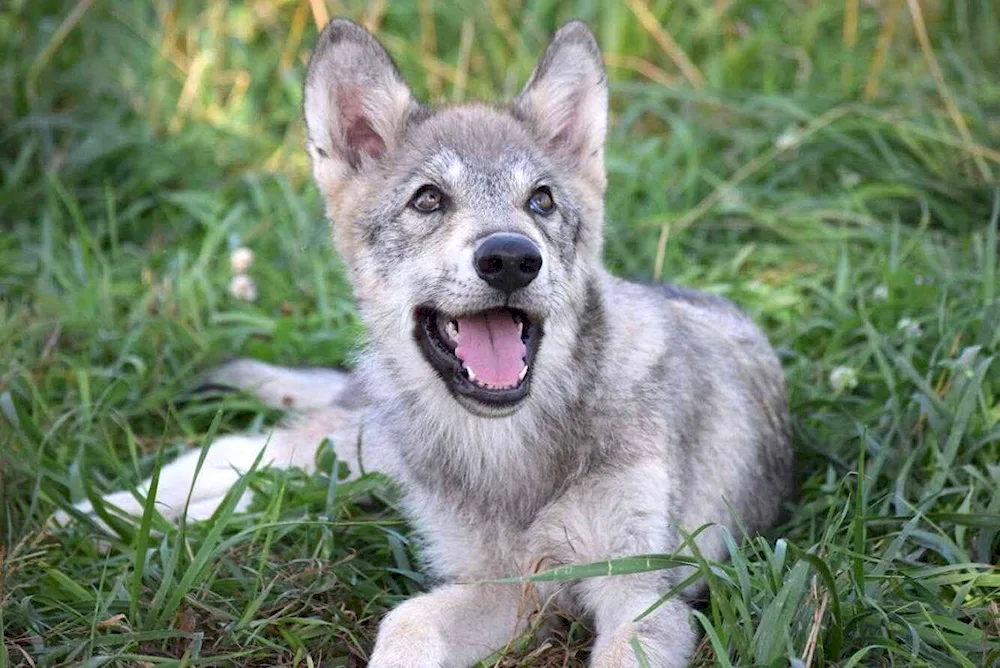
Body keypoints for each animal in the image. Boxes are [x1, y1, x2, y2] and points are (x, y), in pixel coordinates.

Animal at [66, 20, 792, 668]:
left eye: (541, 200)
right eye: (428, 199)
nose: (510, 259)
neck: (508, 453)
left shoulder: (632, 595)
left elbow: (410, 619)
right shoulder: (505, 584)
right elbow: (405, 624)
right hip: (358, 448)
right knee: (248, 448)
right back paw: (107, 512)